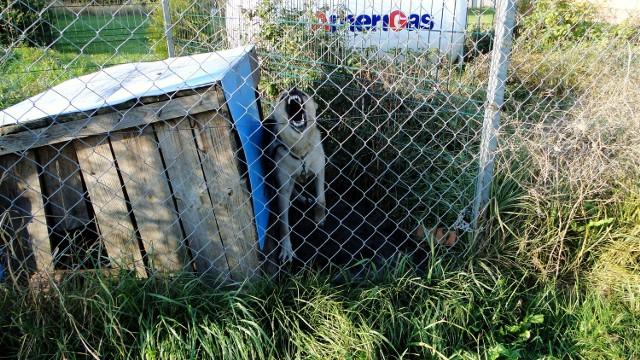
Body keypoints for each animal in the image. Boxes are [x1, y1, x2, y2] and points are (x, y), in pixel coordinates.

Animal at [264, 87, 324, 262]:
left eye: (304, 94)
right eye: (282, 96)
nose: (293, 89)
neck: (301, 151)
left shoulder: (320, 170)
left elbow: (321, 200)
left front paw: (320, 218)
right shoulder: (282, 189)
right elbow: (284, 224)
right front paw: (286, 249)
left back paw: (301, 197)